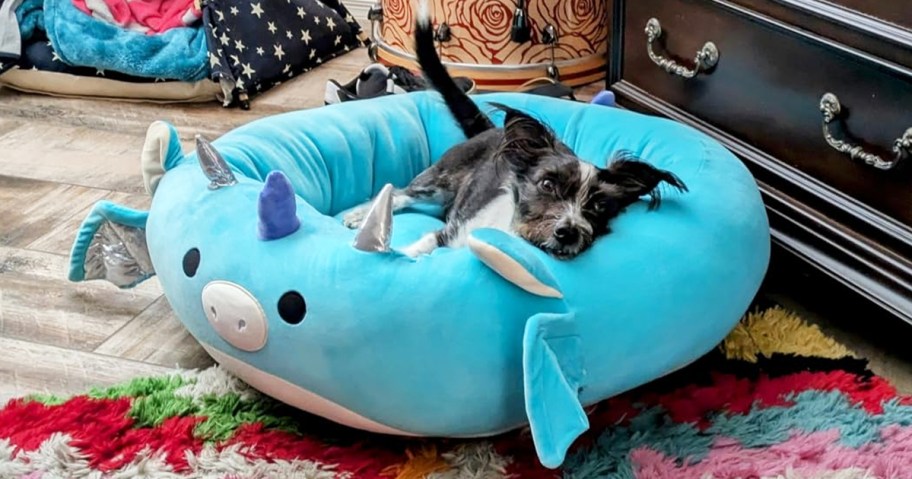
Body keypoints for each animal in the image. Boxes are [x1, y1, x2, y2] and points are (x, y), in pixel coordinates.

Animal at [342, 9, 684, 260]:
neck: (513, 236)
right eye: (546, 184)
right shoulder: (450, 233)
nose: (568, 232)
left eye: (600, 205)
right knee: (400, 193)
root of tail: (490, 130)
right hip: (439, 179)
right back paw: (360, 215)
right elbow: (422, 243)